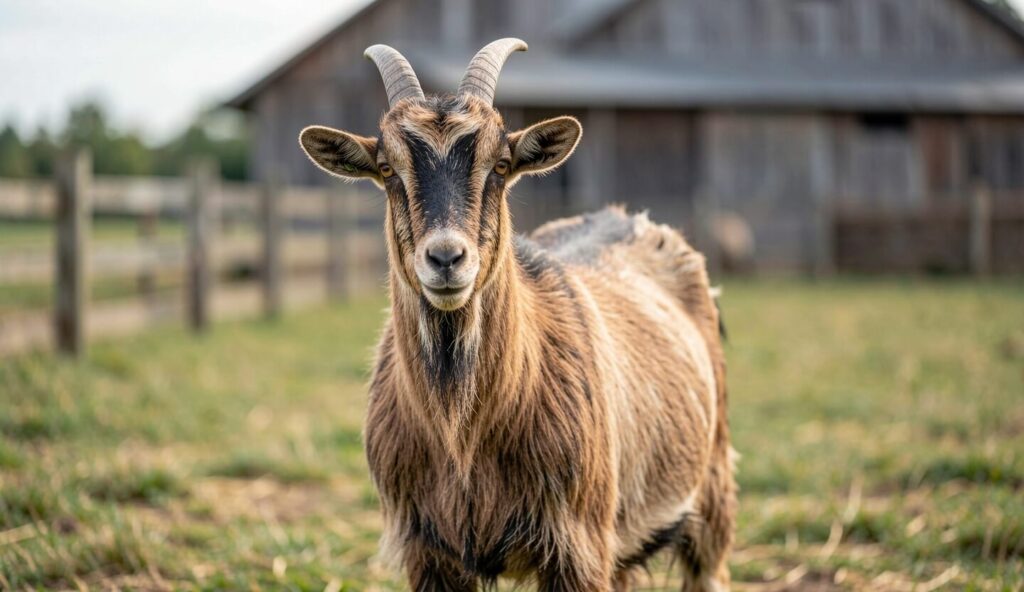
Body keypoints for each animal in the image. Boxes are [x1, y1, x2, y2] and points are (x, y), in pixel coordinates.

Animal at [299, 38, 736, 592]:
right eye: (387, 170)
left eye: (501, 165)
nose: (446, 259)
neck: (464, 442)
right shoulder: (428, 551)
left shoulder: (579, 545)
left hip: (712, 487)